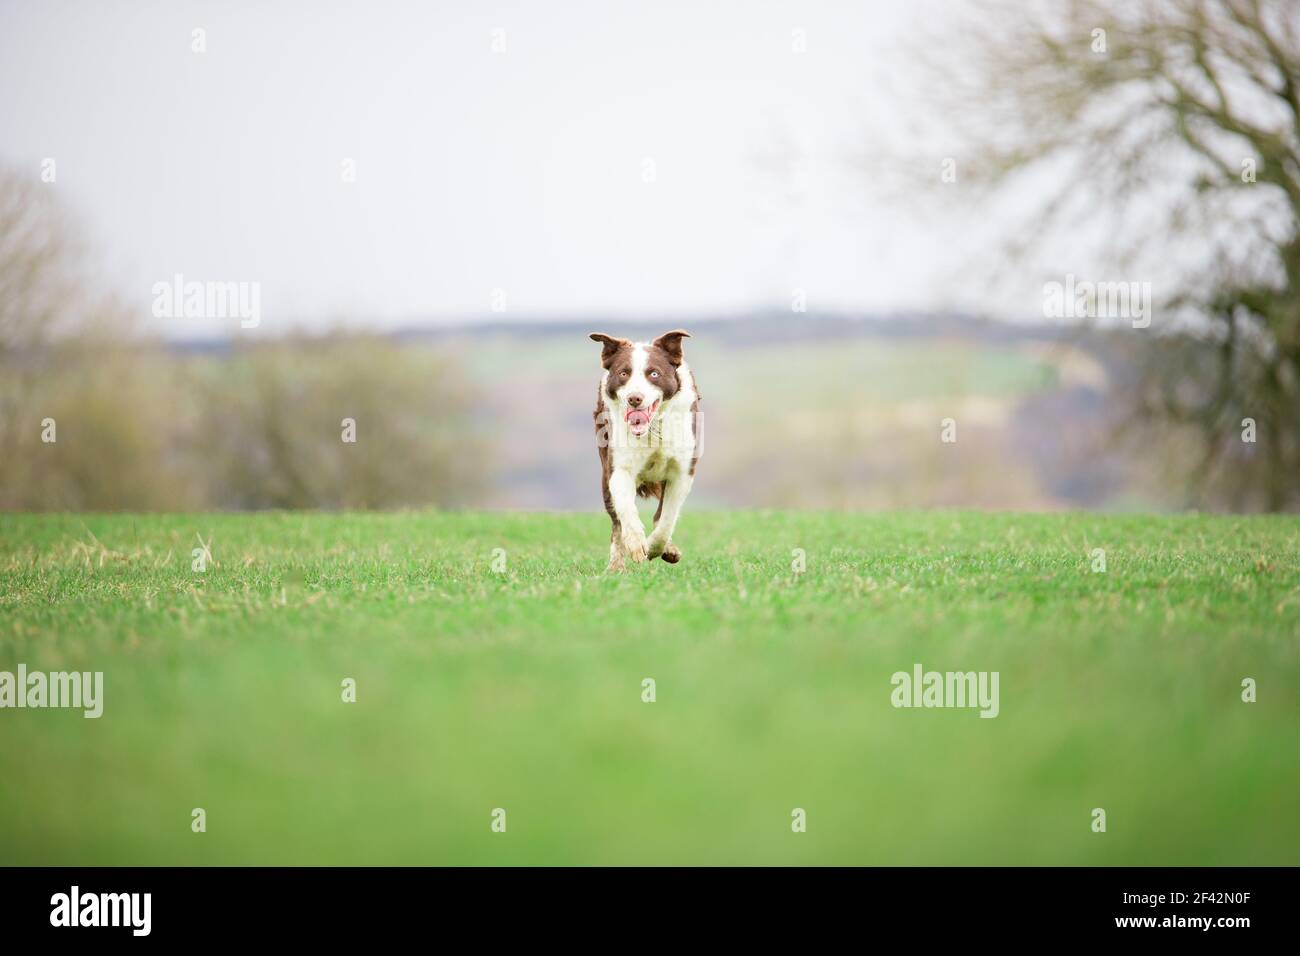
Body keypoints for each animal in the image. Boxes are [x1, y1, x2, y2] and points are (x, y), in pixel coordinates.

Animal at [592, 330, 702, 567]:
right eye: (623, 373)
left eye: (654, 373)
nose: (635, 398)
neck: (652, 430)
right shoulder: (618, 468)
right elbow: (626, 509)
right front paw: (636, 545)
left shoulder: (681, 472)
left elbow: (666, 518)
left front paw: (655, 548)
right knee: (616, 523)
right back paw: (616, 566)